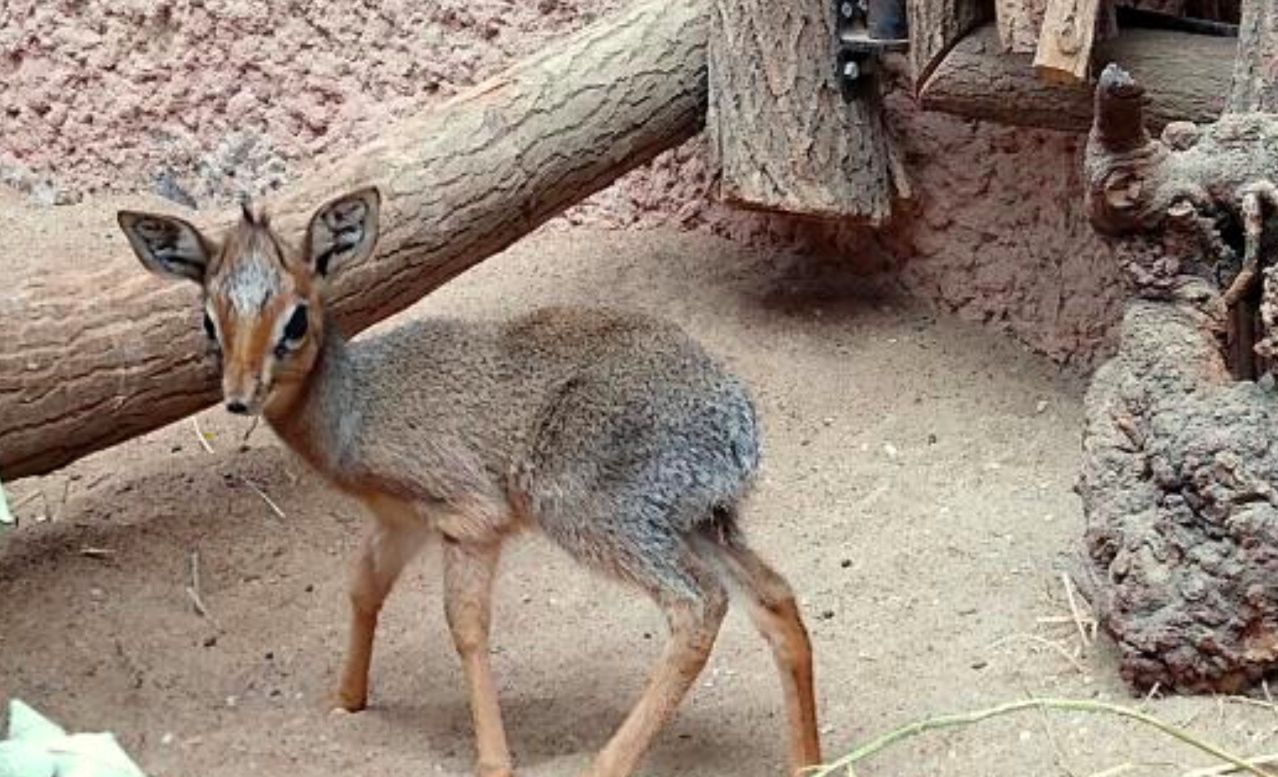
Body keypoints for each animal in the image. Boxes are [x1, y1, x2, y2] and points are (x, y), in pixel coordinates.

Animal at [117, 187, 817, 777]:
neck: (354, 406)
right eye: (209, 320)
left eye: (294, 320)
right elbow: (363, 589)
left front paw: (493, 759)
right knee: (773, 596)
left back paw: (608, 763)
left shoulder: (469, 519)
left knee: (698, 605)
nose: (239, 397)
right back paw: (807, 762)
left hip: (599, 518)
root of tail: (737, 428)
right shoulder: (398, 522)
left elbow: (466, 627)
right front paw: (347, 701)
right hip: (699, 523)